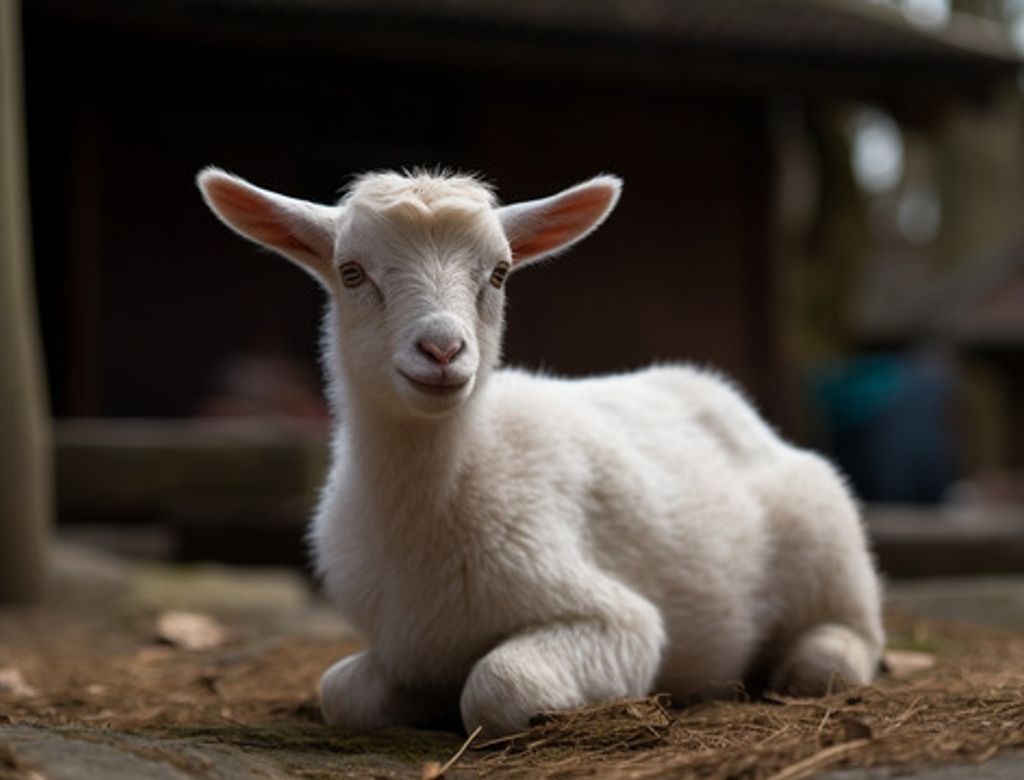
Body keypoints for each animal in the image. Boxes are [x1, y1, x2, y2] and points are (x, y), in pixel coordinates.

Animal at [197, 167, 884, 737]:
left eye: (499, 273)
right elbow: (342, 693)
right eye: (352, 272)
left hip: (831, 541)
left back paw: (807, 661)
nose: (442, 350)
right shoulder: (403, 642)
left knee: (851, 637)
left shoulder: (616, 620)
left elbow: (501, 687)